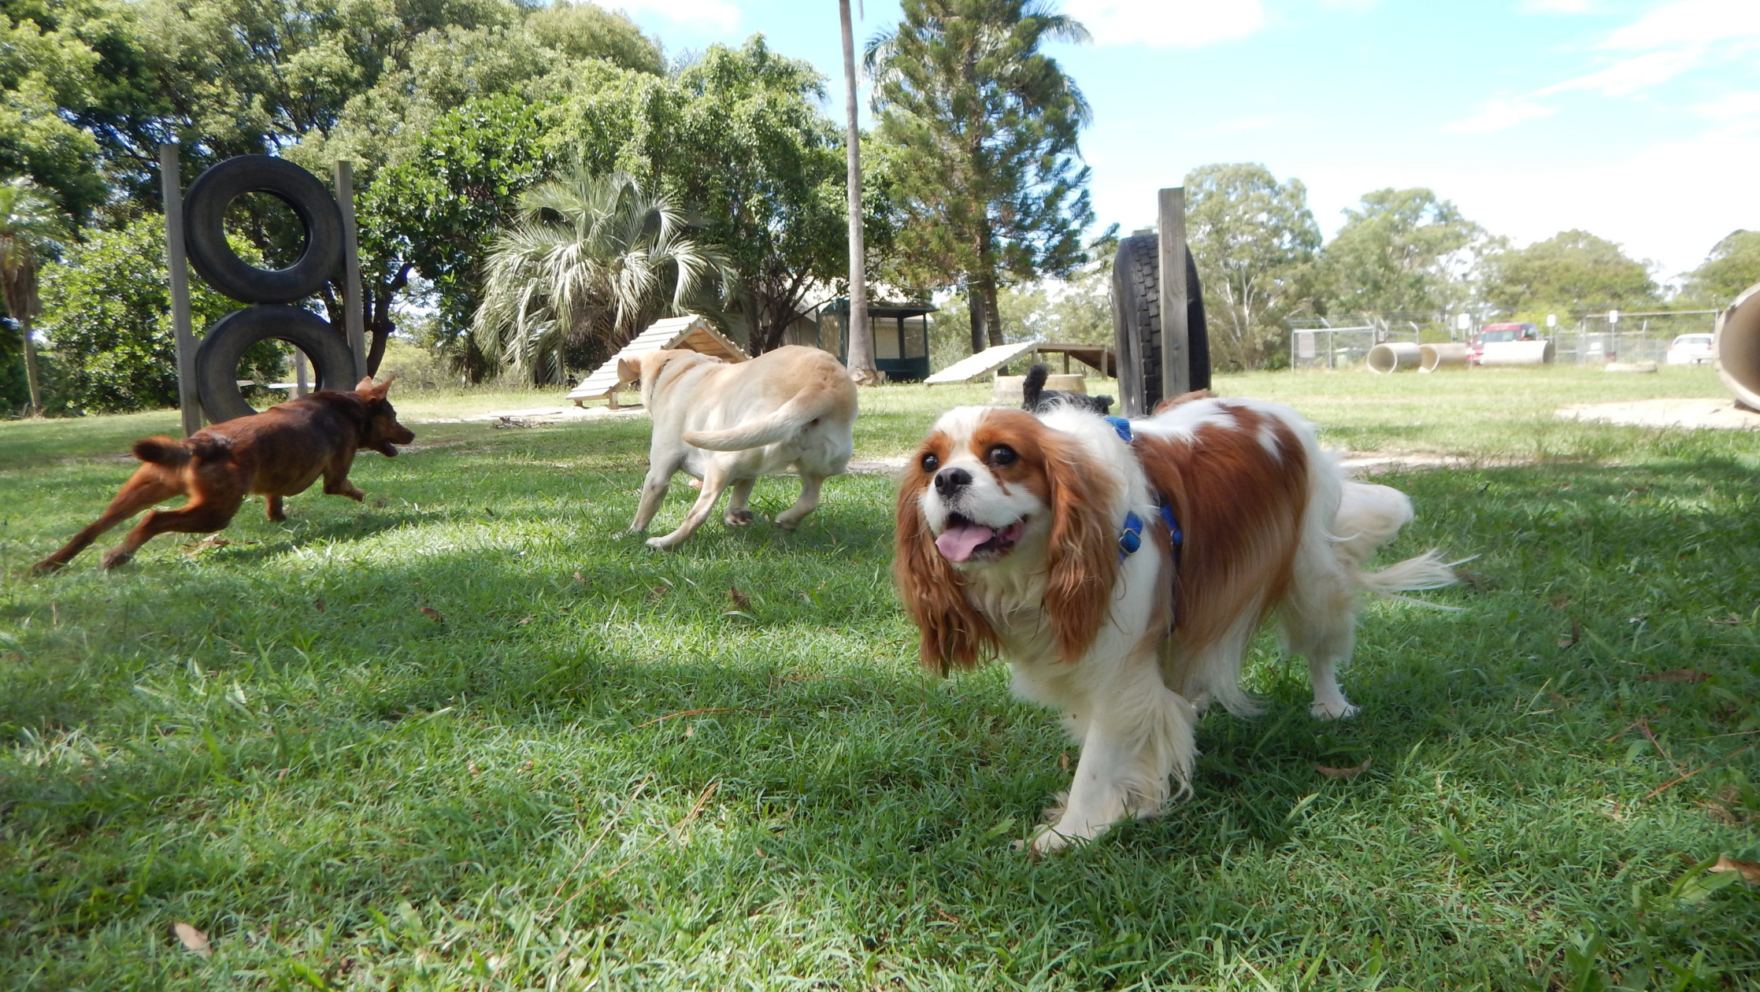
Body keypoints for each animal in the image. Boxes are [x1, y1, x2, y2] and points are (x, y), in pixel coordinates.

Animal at [32, 374, 417, 573]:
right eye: (395, 416)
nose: (412, 435)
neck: (352, 409)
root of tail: (200, 443)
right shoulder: (336, 475)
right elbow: (344, 487)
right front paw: (364, 498)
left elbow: (274, 498)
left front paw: (277, 517)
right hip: (215, 512)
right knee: (153, 519)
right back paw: (118, 556)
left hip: (140, 490)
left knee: (93, 527)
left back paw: (50, 564)